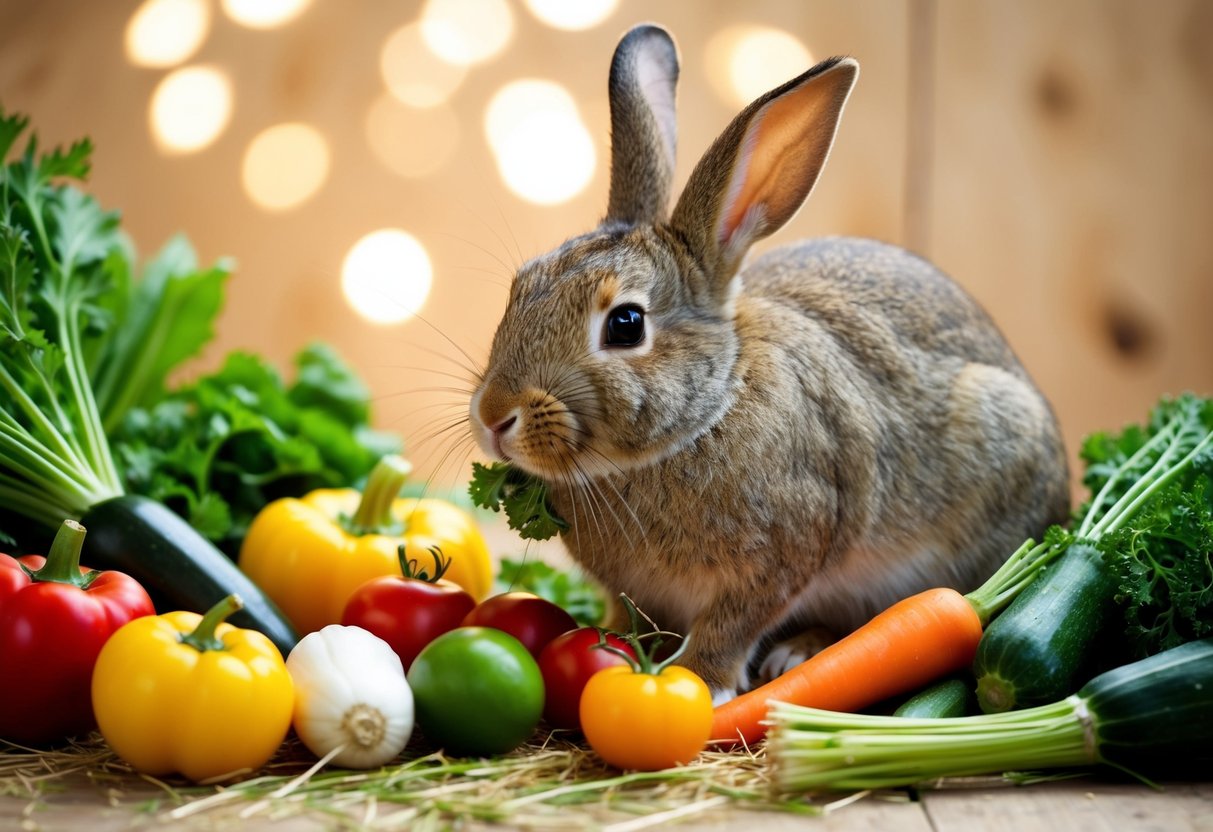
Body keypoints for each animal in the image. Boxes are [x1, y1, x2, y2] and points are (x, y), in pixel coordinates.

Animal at [469, 23, 1070, 701]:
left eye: (625, 325)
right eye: (521, 284)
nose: (493, 417)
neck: (706, 414)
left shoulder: (781, 556)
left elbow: (732, 625)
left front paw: (701, 680)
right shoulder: (637, 590)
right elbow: (630, 618)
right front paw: (617, 645)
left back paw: (796, 653)